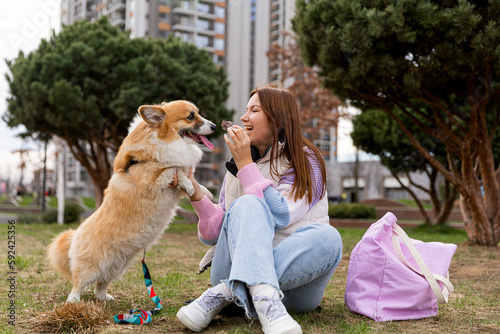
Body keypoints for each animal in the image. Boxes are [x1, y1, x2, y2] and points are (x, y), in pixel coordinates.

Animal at [44, 100, 213, 302]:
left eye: (198, 113)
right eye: (190, 116)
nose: (214, 126)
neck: (165, 139)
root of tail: (74, 236)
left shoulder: (173, 189)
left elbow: (190, 179)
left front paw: (206, 192)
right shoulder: (151, 179)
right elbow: (174, 168)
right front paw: (188, 182)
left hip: (117, 267)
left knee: (100, 285)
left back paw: (105, 297)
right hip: (91, 267)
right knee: (79, 283)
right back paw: (73, 300)